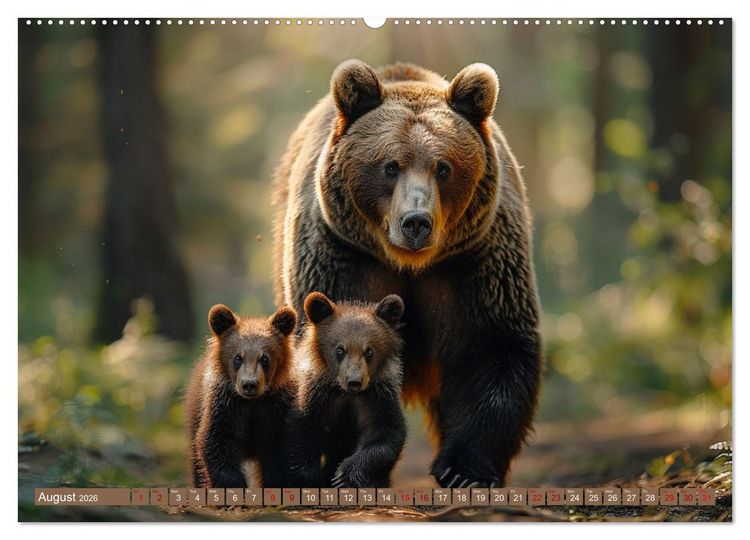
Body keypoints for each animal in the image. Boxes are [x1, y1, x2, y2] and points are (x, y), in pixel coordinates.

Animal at [185, 303, 297, 488]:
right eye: (238, 357)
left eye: (264, 358)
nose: (249, 384)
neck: (251, 403)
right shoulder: (224, 406)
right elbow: (215, 442)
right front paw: (233, 485)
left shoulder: (274, 408)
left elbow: (278, 453)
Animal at [287, 292, 407, 488]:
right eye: (340, 350)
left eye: (369, 351)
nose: (354, 381)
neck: (345, 393)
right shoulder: (315, 396)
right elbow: (301, 435)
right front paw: (312, 478)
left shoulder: (376, 398)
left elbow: (385, 434)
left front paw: (344, 475)